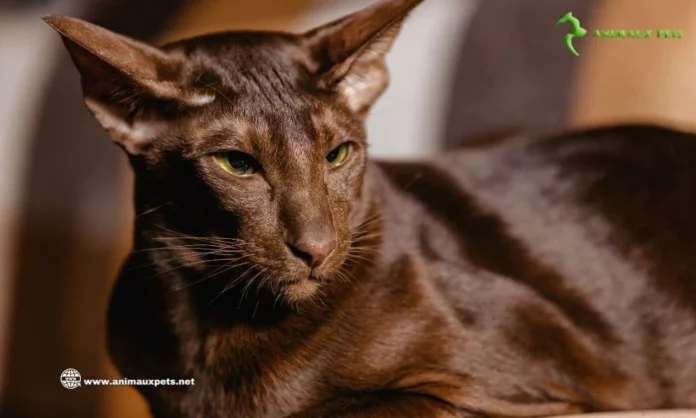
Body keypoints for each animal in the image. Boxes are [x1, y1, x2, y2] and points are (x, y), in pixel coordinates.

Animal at [44, 0, 696, 418]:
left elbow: (337, 411)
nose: (317, 249)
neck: (211, 326)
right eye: (235, 164)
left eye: (337, 154)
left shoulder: (530, 389)